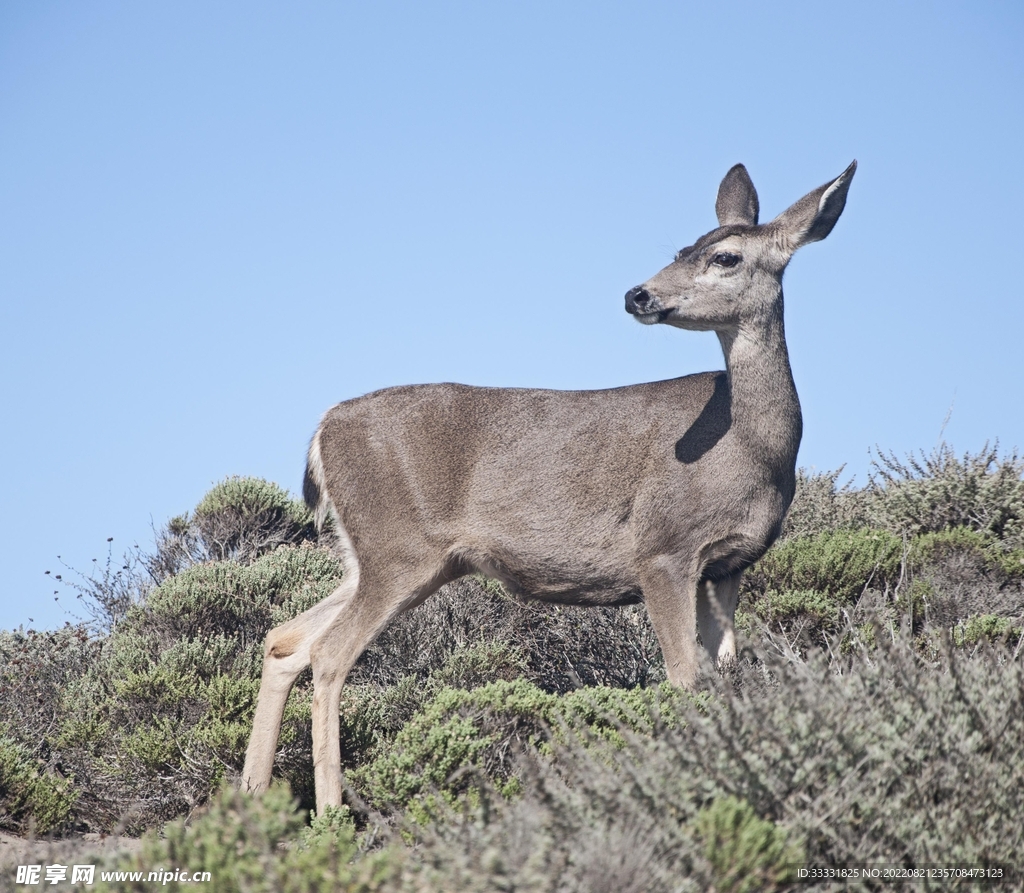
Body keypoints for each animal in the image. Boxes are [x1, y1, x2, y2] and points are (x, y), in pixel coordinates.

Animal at [241, 160, 857, 810]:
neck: (754, 449)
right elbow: (684, 679)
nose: (638, 294)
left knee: (286, 639)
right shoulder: (663, 548)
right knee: (329, 654)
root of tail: (324, 428)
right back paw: (331, 811)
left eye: (725, 256)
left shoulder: (729, 565)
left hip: (380, 559)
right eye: (682, 249)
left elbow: (725, 677)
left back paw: (252, 795)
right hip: (397, 551)